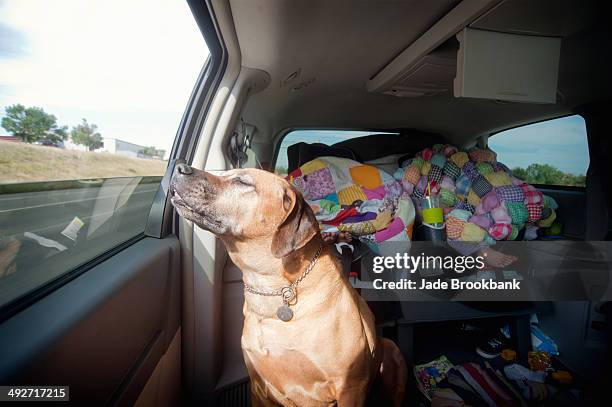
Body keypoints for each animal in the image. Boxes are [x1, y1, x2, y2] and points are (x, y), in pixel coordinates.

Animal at [171, 165, 406, 404]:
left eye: (243, 182)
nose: (180, 167)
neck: (271, 290)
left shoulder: (351, 387)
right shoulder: (258, 387)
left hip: (393, 351)